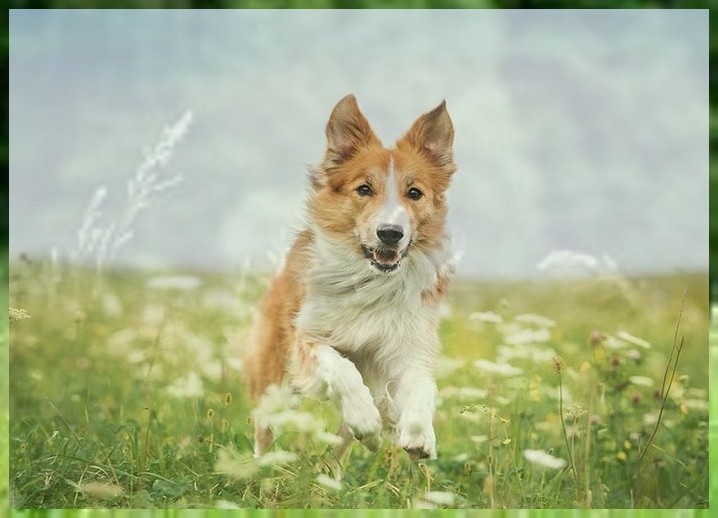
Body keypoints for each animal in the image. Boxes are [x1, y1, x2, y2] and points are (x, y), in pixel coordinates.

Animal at [245, 93, 458, 464]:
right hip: (274, 376)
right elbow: (341, 367)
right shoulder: (306, 337)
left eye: (414, 193)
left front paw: (419, 435)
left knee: (341, 449)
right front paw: (364, 416)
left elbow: (422, 385)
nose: (390, 233)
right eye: (364, 189)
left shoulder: (409, 345)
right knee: (265, 427)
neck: (371, 280)